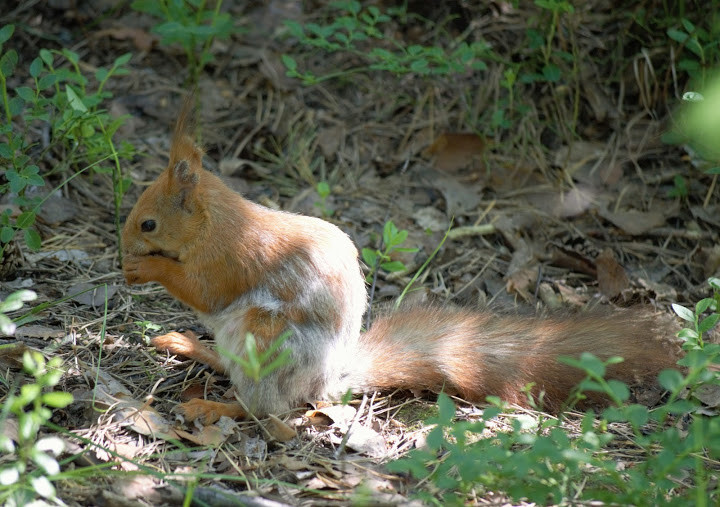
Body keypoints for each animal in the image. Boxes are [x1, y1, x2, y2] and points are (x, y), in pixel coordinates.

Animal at [121, 97, 684, 422]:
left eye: (148, 223)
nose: (125, 245)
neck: (215, 222)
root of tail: (327, 381)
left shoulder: (231, 258)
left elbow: (204, 289)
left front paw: (145, 268)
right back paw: (192, 347)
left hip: (268, 345)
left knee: (266, 410)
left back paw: (212, 405)